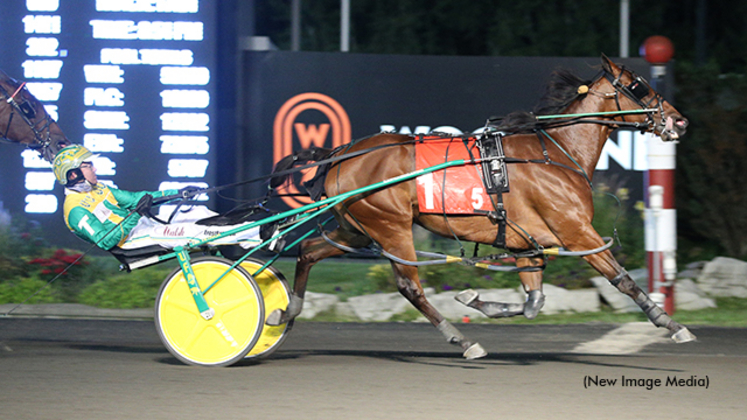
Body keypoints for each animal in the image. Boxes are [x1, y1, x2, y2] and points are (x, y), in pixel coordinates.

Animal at [266, 55, 692, 358]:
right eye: (639, 86)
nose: (679, 121)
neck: (556, 153)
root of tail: (340, 153)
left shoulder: (528, 243)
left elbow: (533, 303)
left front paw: (475, 300)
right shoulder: (576, 232)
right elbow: (621, 278)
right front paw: (669, 323)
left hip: (355, 228)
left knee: (308, 251)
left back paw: (285, 312)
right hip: (390, 226)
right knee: (410, 286)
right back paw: (461, 339)